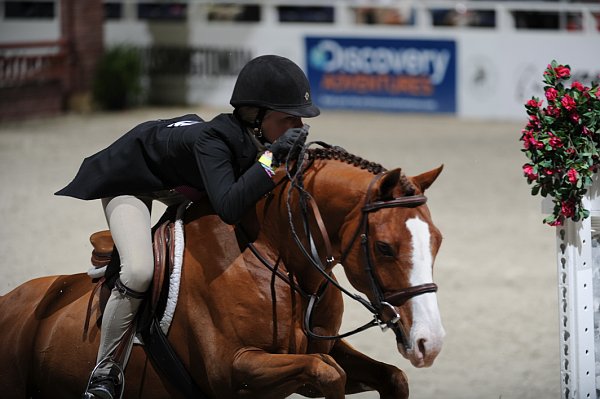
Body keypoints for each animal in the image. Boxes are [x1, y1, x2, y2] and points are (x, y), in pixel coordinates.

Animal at [0, 145, 446, 399]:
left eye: (437, 240)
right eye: (385, 248)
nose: (430, 343)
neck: (279, 258)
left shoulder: (324, 347)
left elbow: (389, 377)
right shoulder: (235, 368)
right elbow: (327, 374)